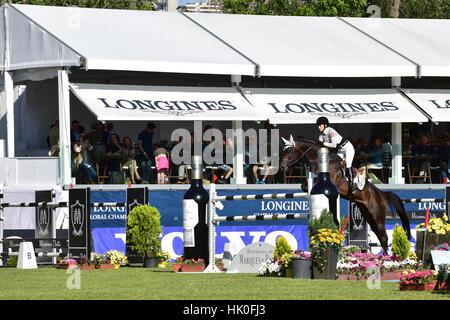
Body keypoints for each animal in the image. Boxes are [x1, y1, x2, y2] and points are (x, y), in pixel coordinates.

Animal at [282, 138, 412, 255]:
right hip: (369, 216)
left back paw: (384, 258)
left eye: (289, 150)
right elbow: (304, 184)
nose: (282, 167)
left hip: (378, 217)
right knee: (380, 236)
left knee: (384, 237)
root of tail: (382, 194)